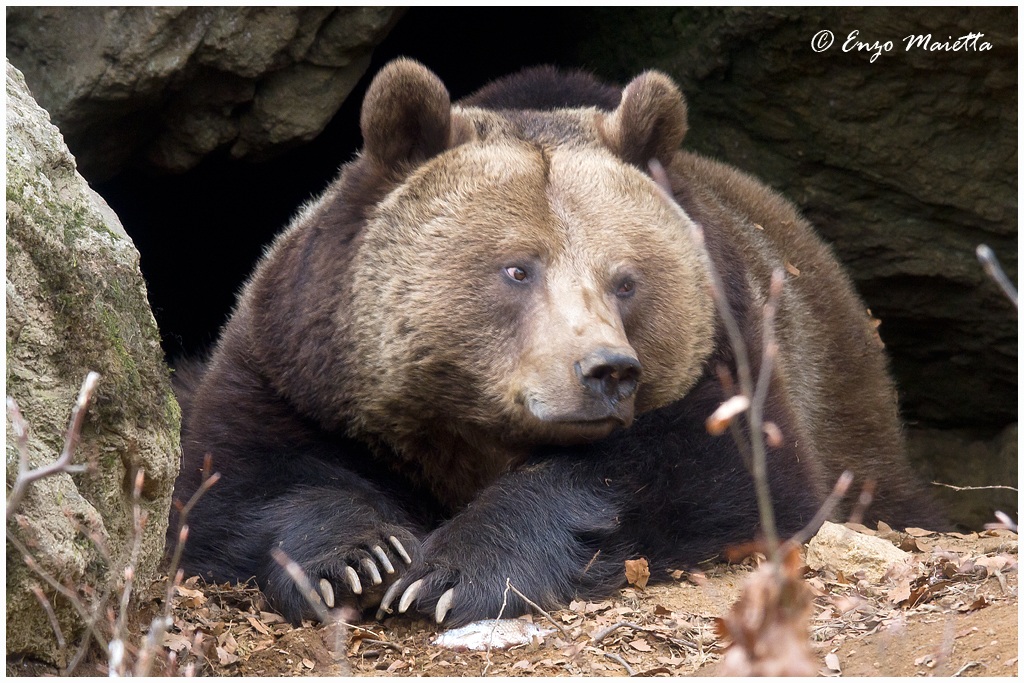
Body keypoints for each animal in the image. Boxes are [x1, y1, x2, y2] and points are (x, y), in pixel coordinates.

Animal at [170, 58, 941, 628]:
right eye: (518, 268)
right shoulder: (298, 360)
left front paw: (457, 572)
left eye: (626, 280)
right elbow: (239, 476)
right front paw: (359, 560)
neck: (465, 429)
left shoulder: (725, 354)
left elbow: (715, 476)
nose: (607, 370)